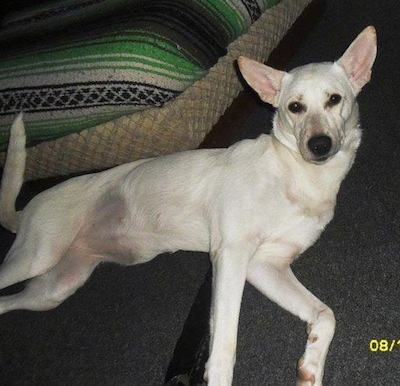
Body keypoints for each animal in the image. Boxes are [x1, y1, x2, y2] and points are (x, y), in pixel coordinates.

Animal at [0, 26, 376, 386]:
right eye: (294, 107)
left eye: (334, 100)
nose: (319, 145)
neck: (297, 176)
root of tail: (25, 211)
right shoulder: (231, 255)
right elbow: (224, 346)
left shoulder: (265, 265)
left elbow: (326, 316)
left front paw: (310, 368)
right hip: (37, 256)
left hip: (56, 288)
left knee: (7, 302)